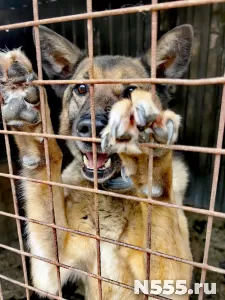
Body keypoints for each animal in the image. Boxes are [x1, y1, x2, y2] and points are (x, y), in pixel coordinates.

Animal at [0, 24, 192, 300]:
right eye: (81, 88)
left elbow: (158, 200)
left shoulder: (171, 282)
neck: (110, 193)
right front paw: (28, 113)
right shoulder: (50, 268)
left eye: (131, 91)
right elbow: (45, 169)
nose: (90, 128)